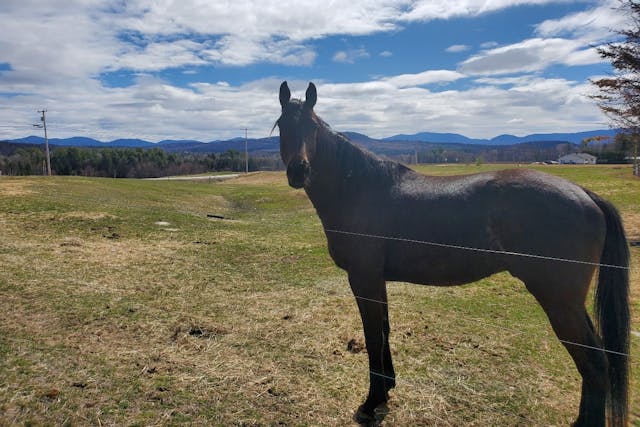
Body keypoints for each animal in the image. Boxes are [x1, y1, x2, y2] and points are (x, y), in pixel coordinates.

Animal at [276, 82, 632, 426]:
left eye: (312, 126)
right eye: (282, 124)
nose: (298, 171)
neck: (359, 190)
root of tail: (584, 193)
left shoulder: (363, 279)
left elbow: (374, 336)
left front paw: (372, 402)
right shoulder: (376, 280)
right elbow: (385, 330)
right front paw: (387, 388)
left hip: (559, 301)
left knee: (595, 363)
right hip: (569, 302)